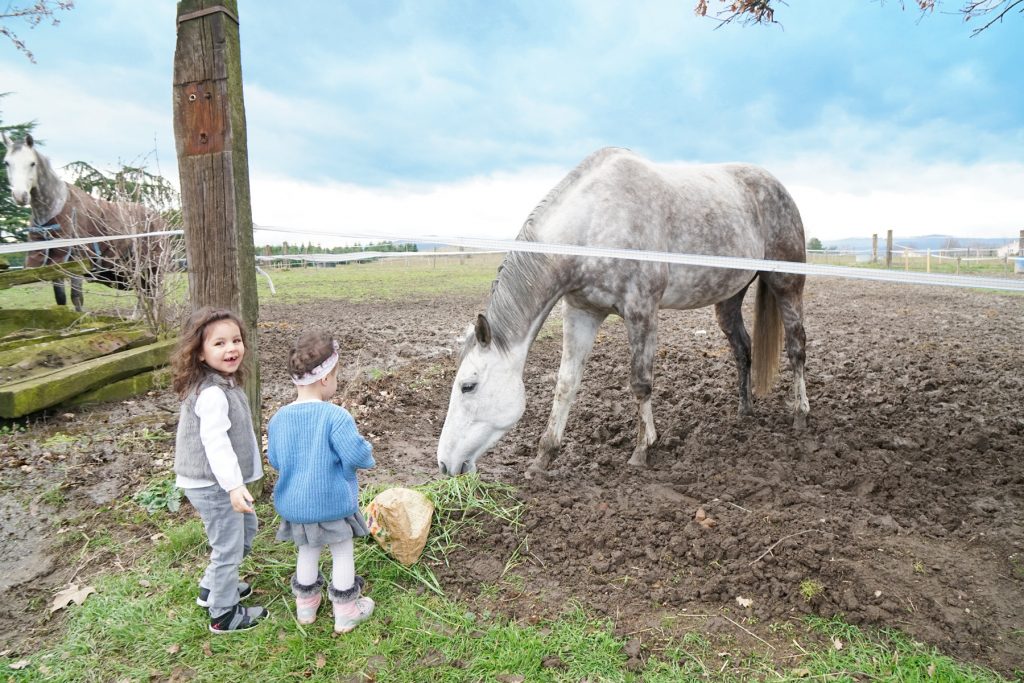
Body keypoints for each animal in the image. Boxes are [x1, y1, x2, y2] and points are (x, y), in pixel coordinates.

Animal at [2, 132, 165, 311]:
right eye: (7, 162)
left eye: (32, 163)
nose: (20, 196)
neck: (55, 211)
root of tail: (157, 217)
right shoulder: (55, 266)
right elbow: (61, 299)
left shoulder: (76, 265)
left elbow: (77, 298)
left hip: (152, 269)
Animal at [436, 147, 809, 478]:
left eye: (468, 386)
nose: (444, 465)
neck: (594, 221)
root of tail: (777, 186)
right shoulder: (582, 312)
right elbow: (566, 383)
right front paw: (542, 459)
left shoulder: (642, 310)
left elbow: (640, 383)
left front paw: (642, 451)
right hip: (729, 298)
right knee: (743, 349)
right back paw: (744, 411)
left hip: (787, 285)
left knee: (797, 347)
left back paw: (800, 414)